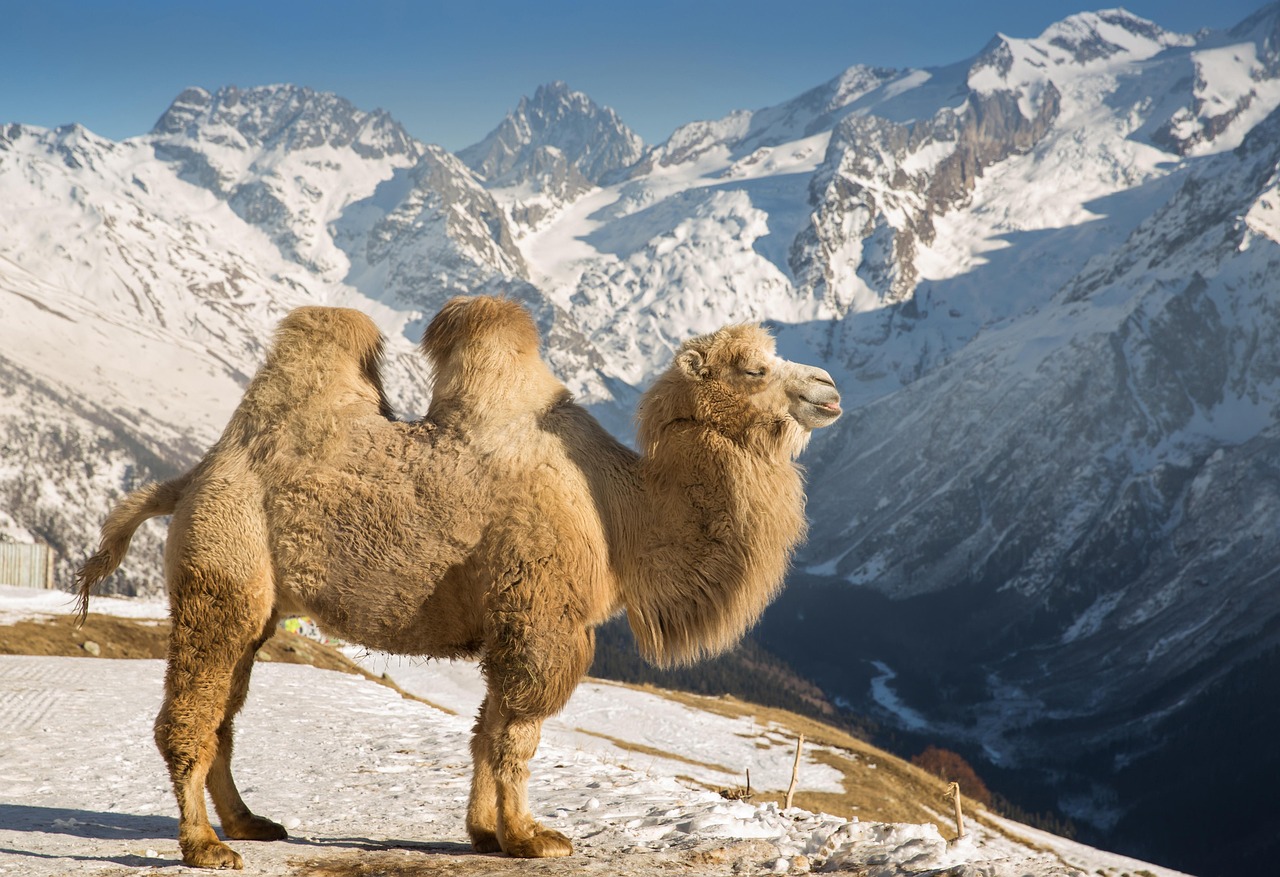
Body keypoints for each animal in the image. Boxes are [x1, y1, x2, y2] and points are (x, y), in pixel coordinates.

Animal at [75, 296, 841, 870]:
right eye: (753, 366)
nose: (829, 389)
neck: (618, 509)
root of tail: (194, 476)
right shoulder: (540, 617)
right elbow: (518, 732)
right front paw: (533, 837)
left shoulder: (510, 618)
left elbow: (487, 727)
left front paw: (486, 834)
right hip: (223, 569)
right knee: (192, 711)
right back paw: (203, 845)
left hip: (260, 605)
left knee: (227, 711)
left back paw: (249, 822)